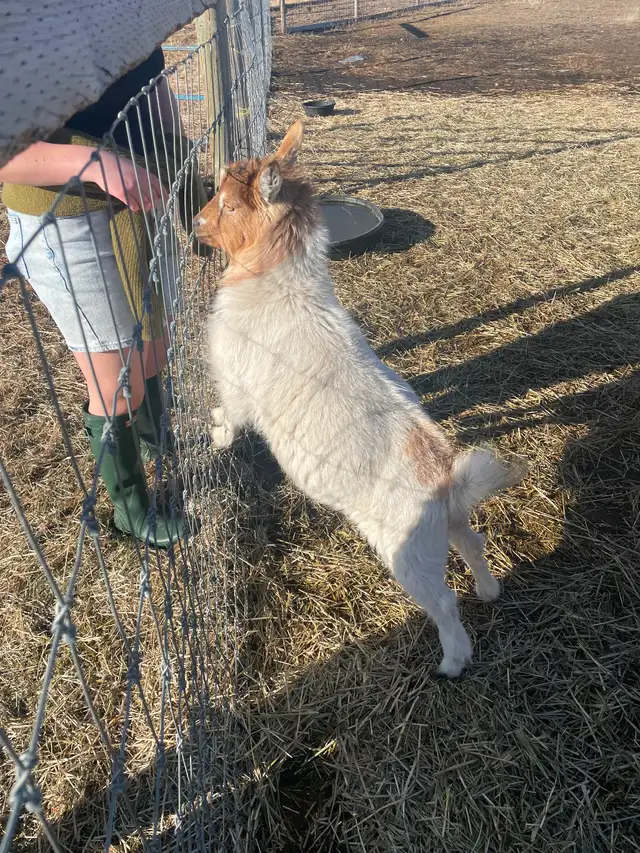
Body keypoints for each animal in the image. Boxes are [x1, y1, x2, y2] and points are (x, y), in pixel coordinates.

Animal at [194, 121, 523, 676]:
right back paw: (489, 589)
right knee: (474, 544)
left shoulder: (237, 380)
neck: (281, 286)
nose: (195, 223)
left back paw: (452, 661)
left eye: (229, 205)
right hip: (450, 526)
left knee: (443, 602)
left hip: (407, 551)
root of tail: (444, 478)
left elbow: (231, 414)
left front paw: (216, 436)